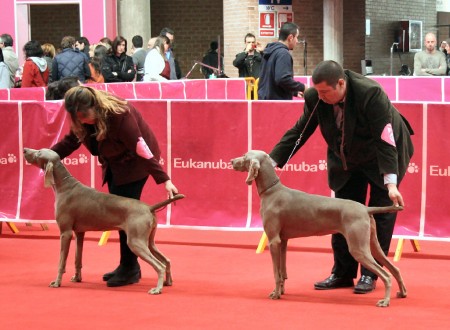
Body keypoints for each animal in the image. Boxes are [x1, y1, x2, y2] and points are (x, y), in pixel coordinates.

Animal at [22, 147, 185, 294]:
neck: (65, 186)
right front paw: (77, 278)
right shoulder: (79, 233)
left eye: (38, 153)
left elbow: (61, 261)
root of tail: (149, 207)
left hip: (135, 241)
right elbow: (77, 259)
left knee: (159, 265)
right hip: (148, 241)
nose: (24, 150)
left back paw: (157, 289)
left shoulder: (65, 233)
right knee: (166, 260)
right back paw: (167, 282)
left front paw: (57, 282)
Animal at [232, 150, 408, 306]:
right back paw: (402, 292)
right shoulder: (283, 241)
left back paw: (385, 301)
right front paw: (281, 291)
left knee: (386, 275)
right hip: (372, 244)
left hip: (359, 248)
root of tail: (365, 208)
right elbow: (283, 272)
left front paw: (275, 294)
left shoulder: (273, 241)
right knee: (395, 269)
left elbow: (276, 272)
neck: (272, 191)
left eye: (245, 156)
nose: (232, 161)